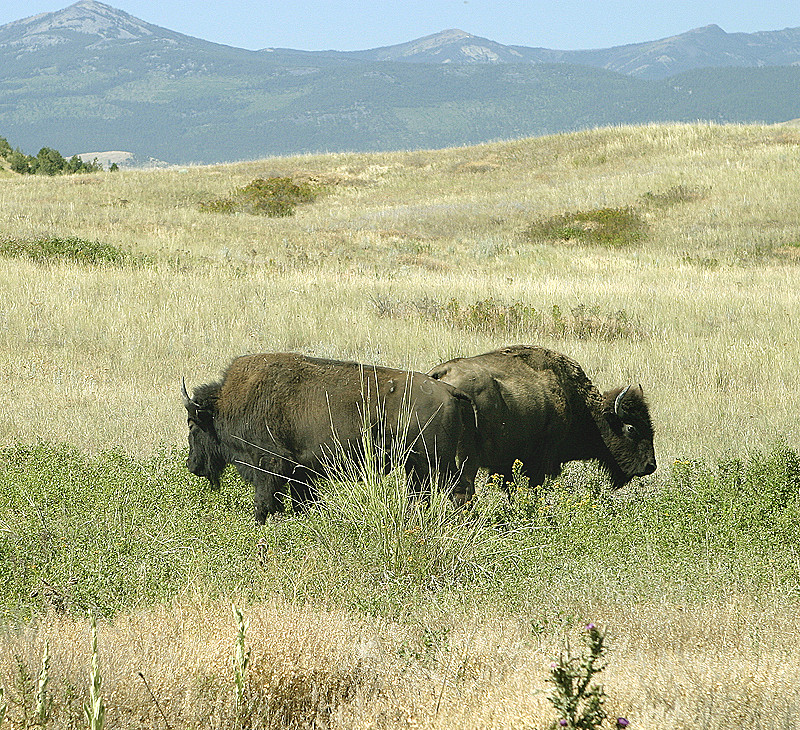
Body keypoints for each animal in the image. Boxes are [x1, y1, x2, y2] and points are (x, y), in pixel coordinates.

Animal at [181, 352, 478, 516]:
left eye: (192, 424)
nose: (191, 464)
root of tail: (448, 389)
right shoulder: (301, 475)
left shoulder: (269, 467)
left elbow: (264, 503)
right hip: (416, 466)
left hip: (434, 462)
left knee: (458, 492)